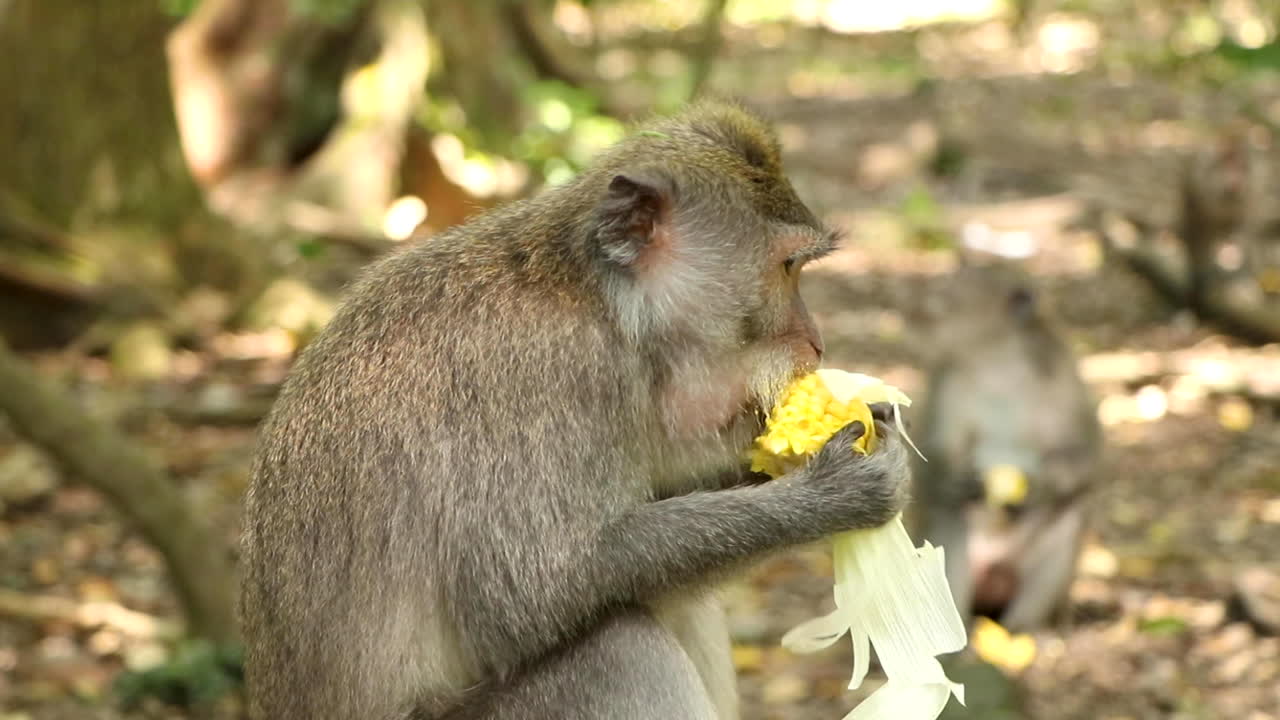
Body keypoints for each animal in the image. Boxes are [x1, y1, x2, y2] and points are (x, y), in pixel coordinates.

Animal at [238, 101, 913, 720]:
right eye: (788, 267)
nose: (818, 341)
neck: (599, 303)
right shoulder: (540, 374)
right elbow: (530, 592)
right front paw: (833, 495)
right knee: (618, 649)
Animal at [909, 259, 1100, 632]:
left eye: (949, 299)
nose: (917, 313)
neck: (997, 365)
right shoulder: (946, 382)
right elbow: (932, 459)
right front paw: (957, 479)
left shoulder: (1063, 382)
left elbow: (1085, 455)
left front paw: (1039, 486)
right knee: (950, 520)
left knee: (1070, 516)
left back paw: (1024, 628)